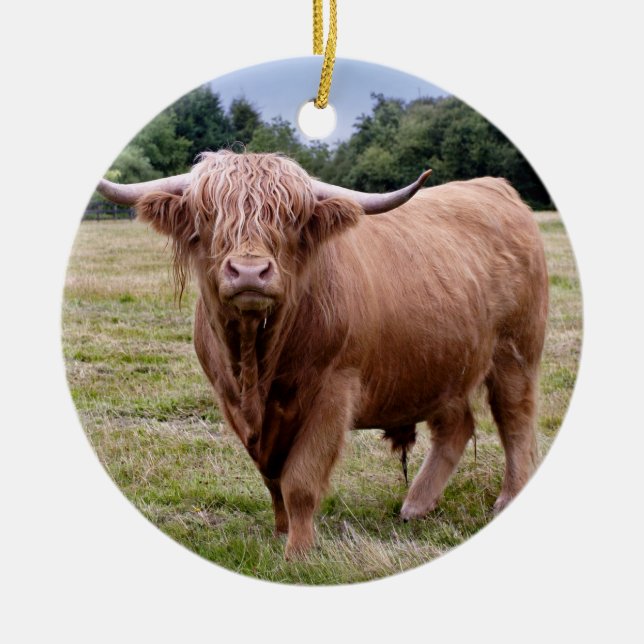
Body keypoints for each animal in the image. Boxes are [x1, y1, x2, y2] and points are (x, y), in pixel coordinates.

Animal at [97, 150, 548, 559]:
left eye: (290, 219)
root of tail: (495, 187)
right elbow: (272, 477)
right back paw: (416, 505)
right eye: (208, 216)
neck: (257, 365)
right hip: (443, 363)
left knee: (516, 421)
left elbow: (299, 479)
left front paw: (298, 550)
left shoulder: (334, 392)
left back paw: (506, 498)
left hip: (515, 353)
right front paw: (281, 531)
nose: (249, 272)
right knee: (456, 427)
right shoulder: (232, 401)